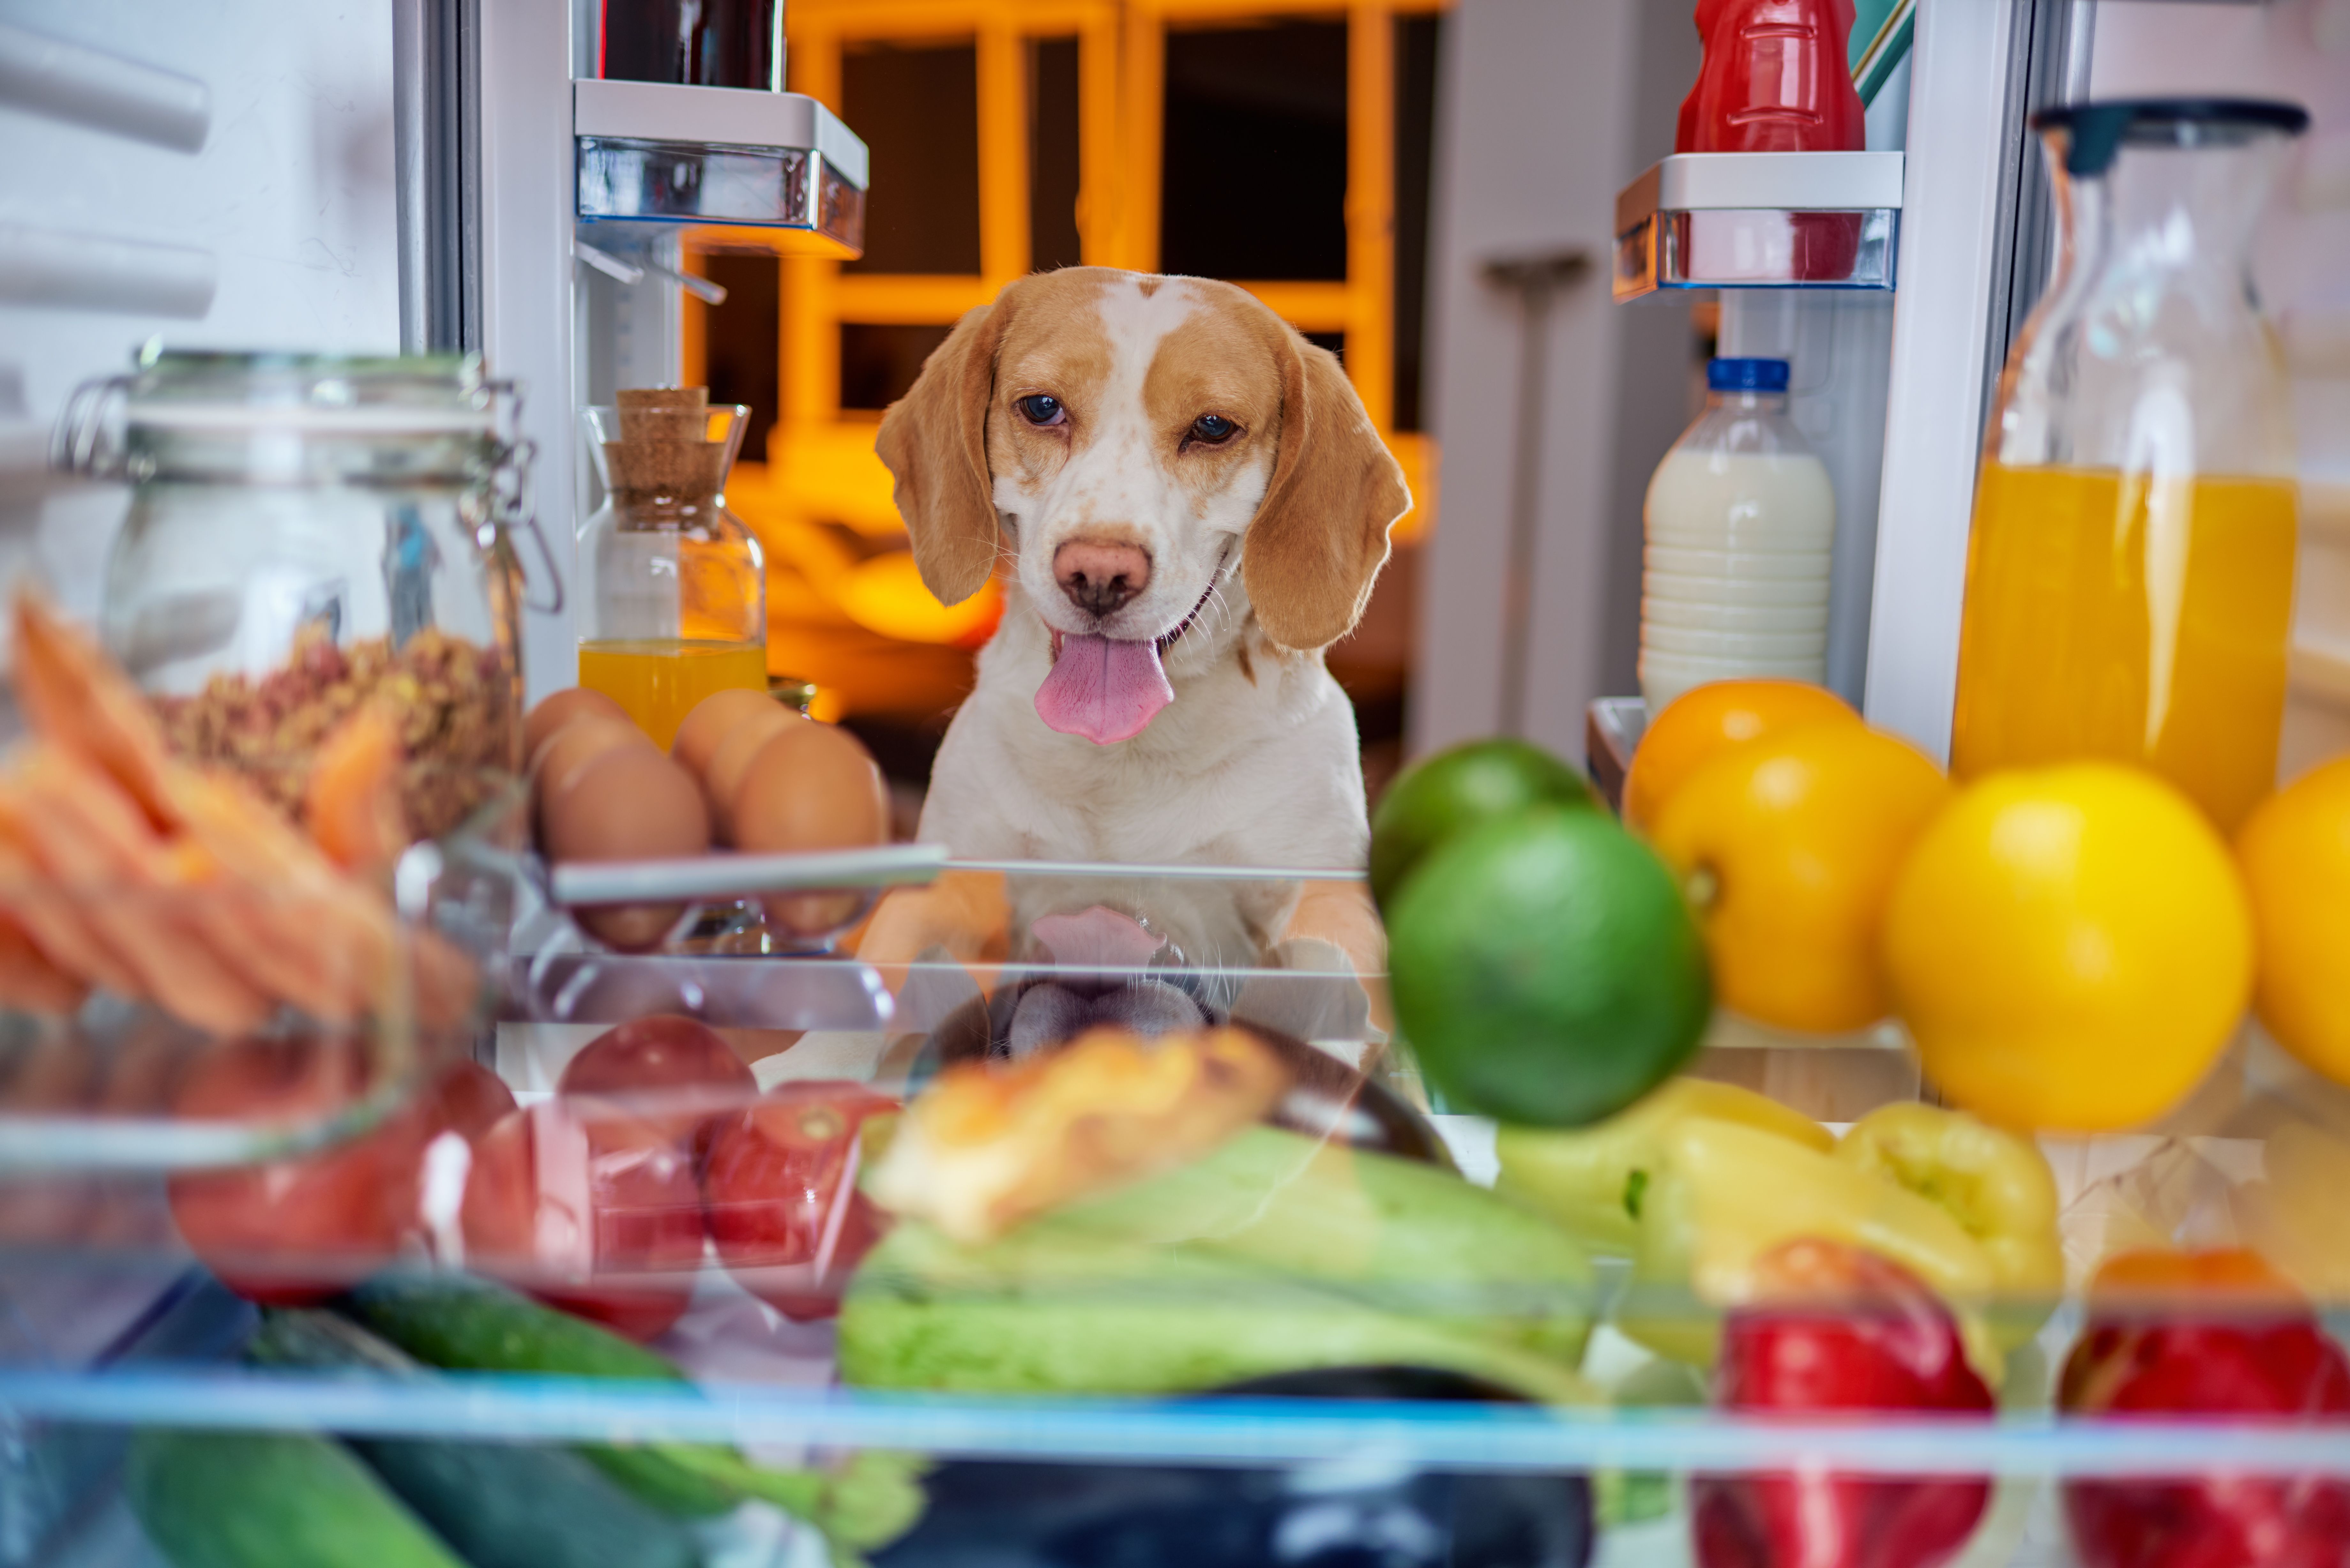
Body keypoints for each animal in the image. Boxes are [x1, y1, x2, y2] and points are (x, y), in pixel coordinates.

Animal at [874, 270, 1400, 983]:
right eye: (1042, 407)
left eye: (1213, 427)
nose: (1099, 574)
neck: (1121, 763)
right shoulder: (952, 885)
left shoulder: (1324, 895)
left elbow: (1334, 970)